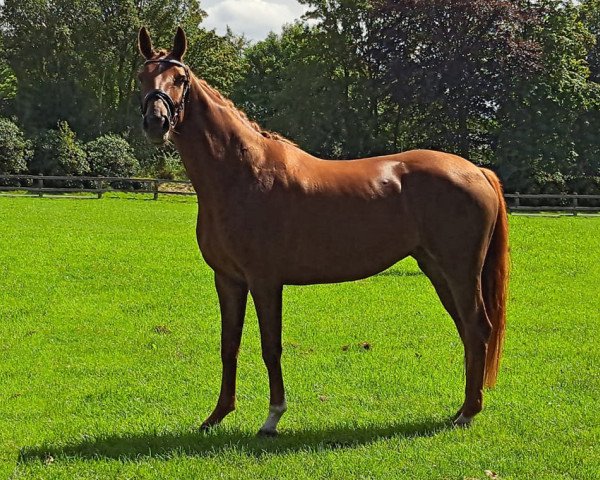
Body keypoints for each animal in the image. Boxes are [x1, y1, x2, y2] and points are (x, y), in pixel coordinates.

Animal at [138, 28, 508, 436]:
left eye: (180, 78)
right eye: (141, 77)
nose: (156, 122)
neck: (241, 173)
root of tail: (476, 171)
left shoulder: (265, 280)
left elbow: (270, 345)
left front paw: (272, 417)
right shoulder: (228, 279)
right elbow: (228, 344)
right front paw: (217, 415)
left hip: (460, 271)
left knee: (477, 327)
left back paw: (468, 412)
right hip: (438, 270)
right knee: (467, 330)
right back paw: (464, 407)